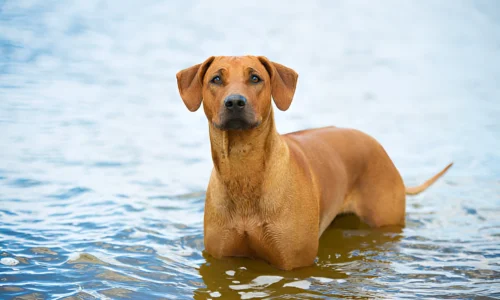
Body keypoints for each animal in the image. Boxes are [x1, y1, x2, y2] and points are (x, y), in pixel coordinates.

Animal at [176, 55, 454, 270]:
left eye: (255, 78)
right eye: (216, 79)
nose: (235, 102)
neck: (244, 168)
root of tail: (380, 149)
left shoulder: (294, 263)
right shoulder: (221, 260)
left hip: (384, 218)